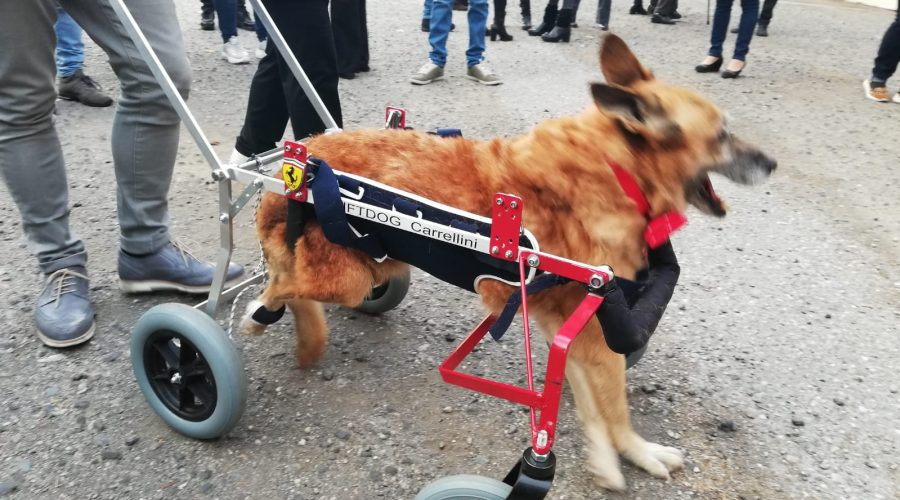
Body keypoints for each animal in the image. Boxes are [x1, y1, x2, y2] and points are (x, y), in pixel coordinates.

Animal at [244, 36, 772, 492]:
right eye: (723, 135)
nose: (772, 164)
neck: (618, 172)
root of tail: (295, 165)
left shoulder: (574, 325)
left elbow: (590, 401)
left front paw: (605, 460)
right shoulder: (591, 326)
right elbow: (615, 405)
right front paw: (638, 452)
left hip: (379, 266)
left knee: (294, 280)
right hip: (346, 277)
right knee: (280, 284)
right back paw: (260, 318)